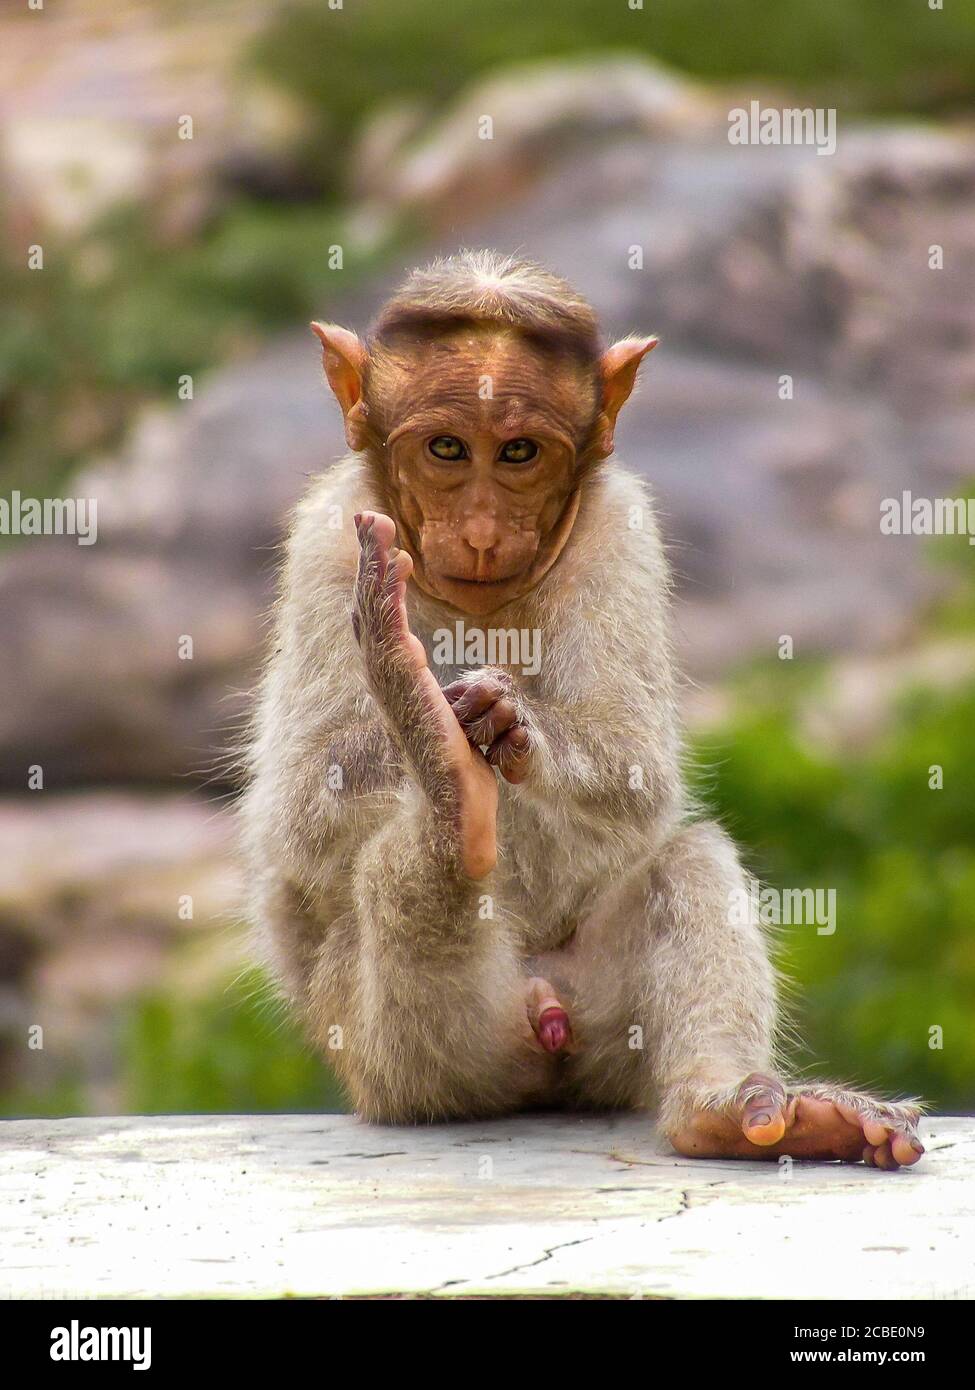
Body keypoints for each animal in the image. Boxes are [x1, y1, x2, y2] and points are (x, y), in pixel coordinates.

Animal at [241, 250, 923, 1170]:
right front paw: (448, 715)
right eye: (447, 449)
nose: (482, 532)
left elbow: (640, 779)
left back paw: (725, 1108)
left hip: (604, 1032)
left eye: (519, 452)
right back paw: (446, 786)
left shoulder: (620, 528)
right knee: (399, 897)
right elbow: (299, 813)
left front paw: (505, 722)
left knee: (687, 859)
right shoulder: (324, 538)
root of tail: (543, 1021)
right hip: (402, 1061)